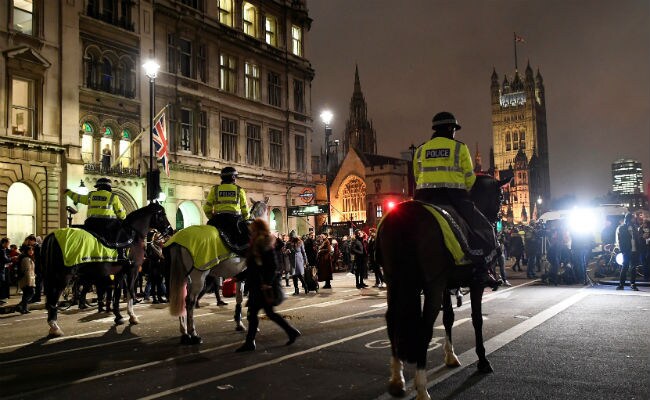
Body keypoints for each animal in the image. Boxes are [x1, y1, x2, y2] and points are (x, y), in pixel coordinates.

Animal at [167, 198, 268, 346]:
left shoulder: (239, 275)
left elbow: (239, 297)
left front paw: (239, 324)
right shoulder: (250, 274)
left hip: (183, 277)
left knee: (182, 298)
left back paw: (184, 333)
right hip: (198, 276)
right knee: (189, 301)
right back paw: (194, 334)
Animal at [378, 175, 508, 400]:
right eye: (500, 197)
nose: (497, 221)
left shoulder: (447, 285)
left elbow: (449, 318)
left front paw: (451, 356)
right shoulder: (474, 284)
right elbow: (477, 320)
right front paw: (483, 361)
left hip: (395, 282)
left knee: (392, 320)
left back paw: (397, 380)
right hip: (432, 286)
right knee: (424, 327)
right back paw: (422, 388)